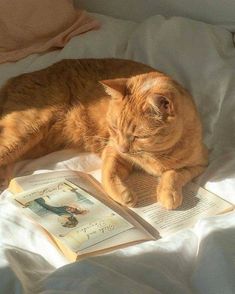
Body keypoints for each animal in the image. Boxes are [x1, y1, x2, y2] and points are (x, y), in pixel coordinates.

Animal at [0, 58, 208, 209]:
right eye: (114, 128)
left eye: (139, 137)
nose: (124, 149)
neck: (155, 156)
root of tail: (13, 79)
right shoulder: (113, 151)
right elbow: (108, 176)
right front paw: (124, 196)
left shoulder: (198, 165)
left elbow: (174, 175)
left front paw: (168, 194)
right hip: (24, 133)